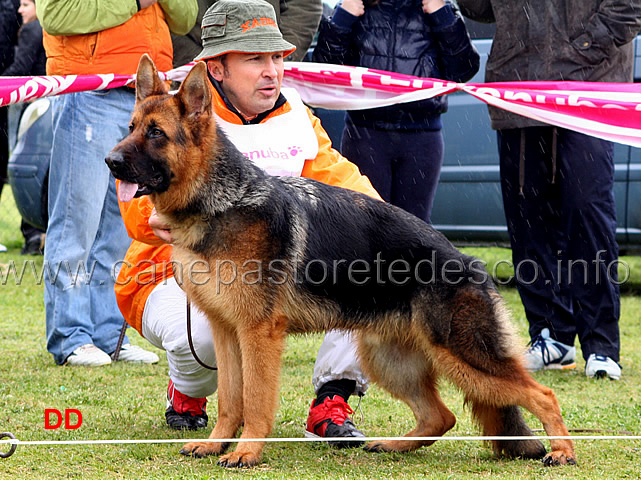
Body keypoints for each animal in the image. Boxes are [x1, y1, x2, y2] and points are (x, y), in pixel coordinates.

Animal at [105, 54, 576, 466]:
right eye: (130, 128)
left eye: (156, 133)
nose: (110, 161)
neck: (221, 201)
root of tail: (468, 262)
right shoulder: (225, 332)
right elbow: (230, 400)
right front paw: (217, 444)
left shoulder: (258, 335)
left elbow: (254, 400)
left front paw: (246, 452)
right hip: (388, 358)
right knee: (441, 416)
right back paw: (393, 445)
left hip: (463, 355)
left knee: (543, 395)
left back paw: (563, 451)